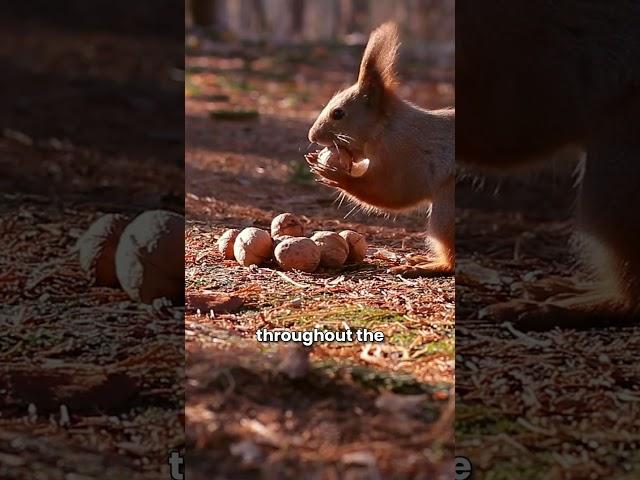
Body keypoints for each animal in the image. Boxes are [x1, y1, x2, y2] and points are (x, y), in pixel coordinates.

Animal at [306, 22, 452, 278]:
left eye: (338, 113)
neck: (387, 128)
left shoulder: (403, 155)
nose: (311, 136)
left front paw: (335, 174)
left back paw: (423, 265)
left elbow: (390, 191)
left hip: (447, 206)